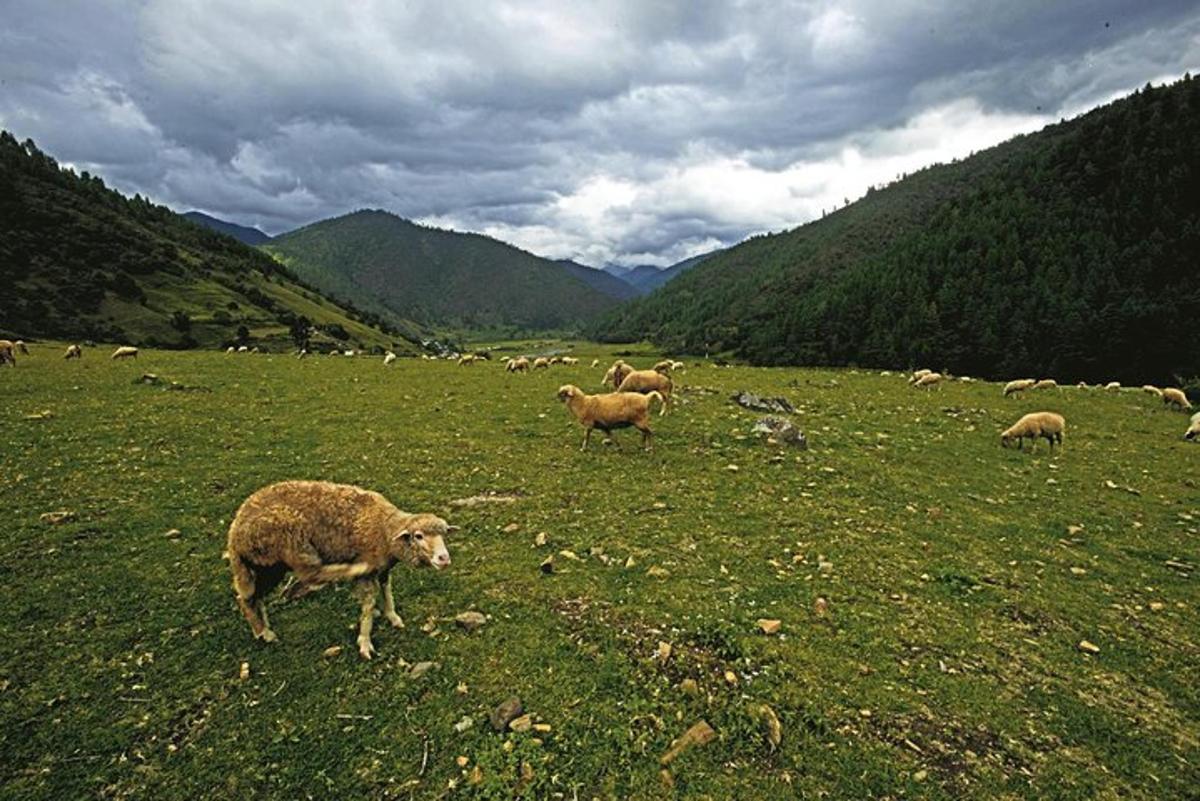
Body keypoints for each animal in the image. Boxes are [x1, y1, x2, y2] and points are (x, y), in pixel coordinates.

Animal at [225, 479, 453, 661]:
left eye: (444, 535)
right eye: (418, 536)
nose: (444, 558)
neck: (385, 529)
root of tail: (235, 530)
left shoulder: (384, 567)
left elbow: (387, 588)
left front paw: (392, 615)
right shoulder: (371, 570)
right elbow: (369, 602)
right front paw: (365, 640)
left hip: (267, 564)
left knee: (251, 597)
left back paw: (263, 629)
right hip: (289, 540)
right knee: (309, 573)